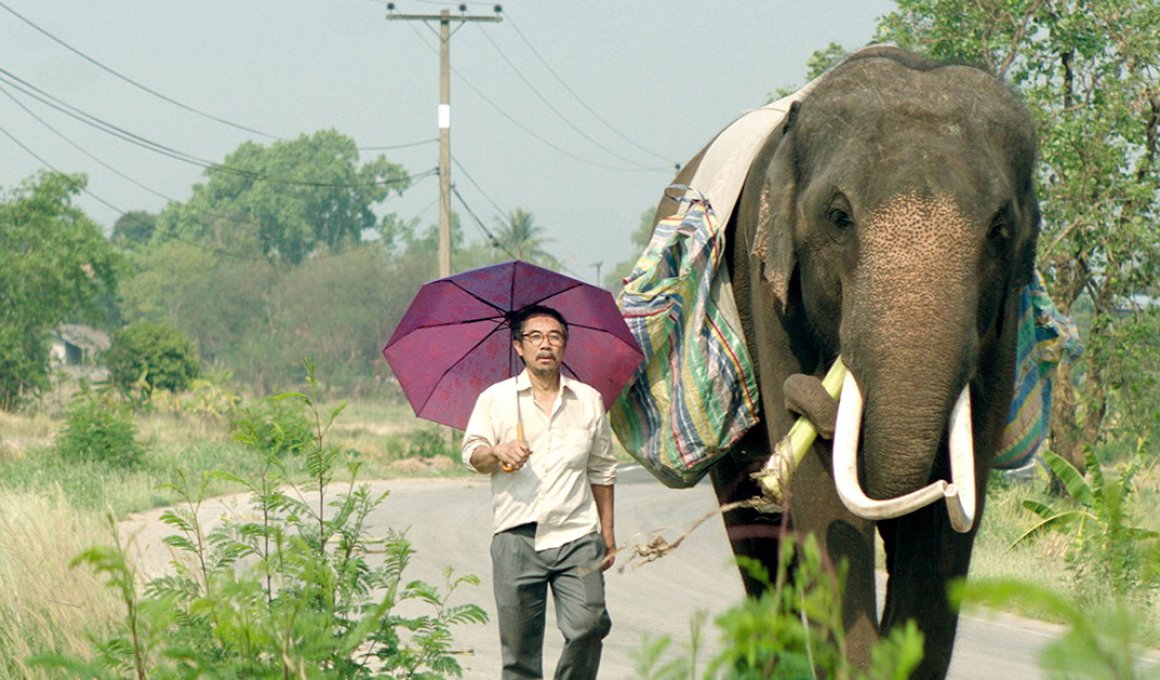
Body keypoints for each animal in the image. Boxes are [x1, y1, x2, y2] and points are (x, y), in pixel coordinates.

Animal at [658, 44, 1048, 673]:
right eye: (839, 218)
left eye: (1000, 230)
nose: (806, 394)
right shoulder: (767, 282)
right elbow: (823, 507)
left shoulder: (1002, 325)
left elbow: (948, 529)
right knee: (755, 536)